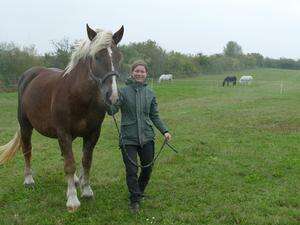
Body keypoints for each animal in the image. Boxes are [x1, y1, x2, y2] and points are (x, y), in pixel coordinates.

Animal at [0, 24, 124, 213]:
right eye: (97, 57)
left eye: (118, 57)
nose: (113, 97)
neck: (78, 95)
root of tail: (29, 75)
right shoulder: (63, 132)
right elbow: (70, 164)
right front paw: (72, 200)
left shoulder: (93, 133)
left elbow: (86, 161)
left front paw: (86, 190)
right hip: (26, 126)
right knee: (27, 149)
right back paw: (28, 180)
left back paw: (75, 180)